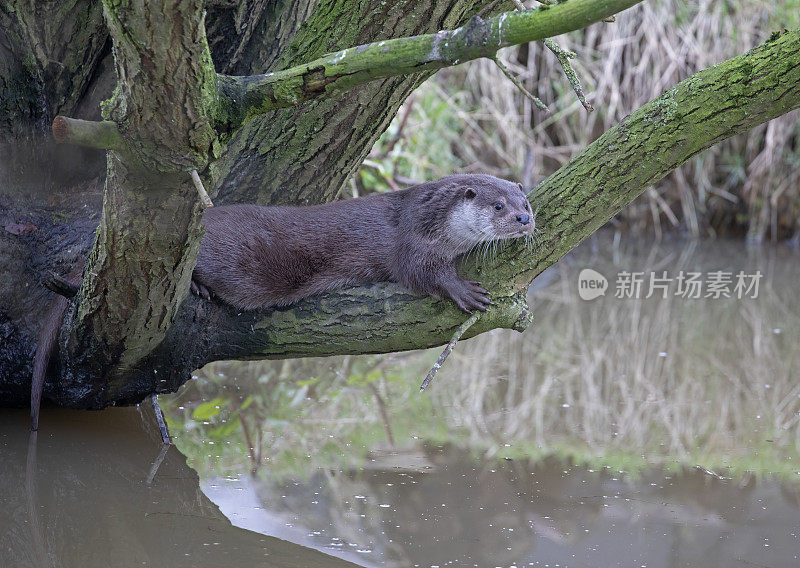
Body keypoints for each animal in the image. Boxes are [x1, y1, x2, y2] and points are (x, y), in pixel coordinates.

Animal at [191, 175, 536, 312]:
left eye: (526, 203)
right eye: (498, 206)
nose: (523, 219)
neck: (427, 217)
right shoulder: (411, 241)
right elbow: (419, 273)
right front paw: (463, 290)